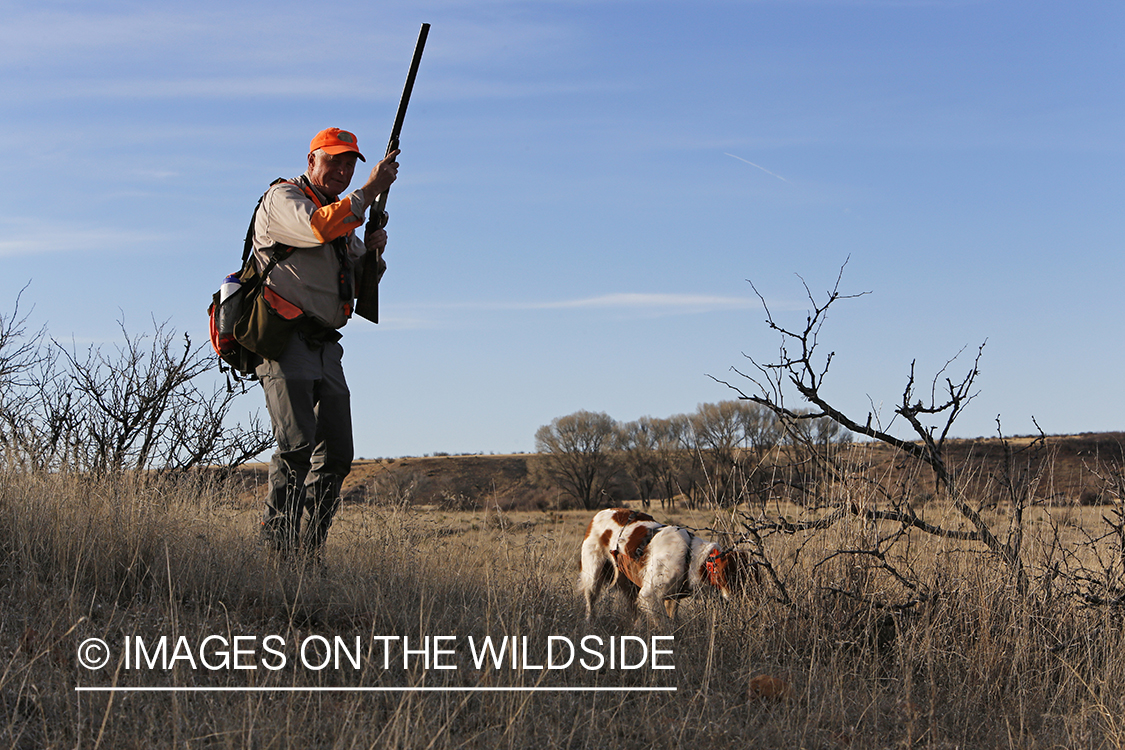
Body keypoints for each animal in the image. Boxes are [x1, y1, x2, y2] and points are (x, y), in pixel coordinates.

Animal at [580, 508, 747, 625]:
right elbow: (665, 626)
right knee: (590, 603)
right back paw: (589, 624)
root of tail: (598, 514)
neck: (690, 557)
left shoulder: (672, 598)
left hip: (629, 584)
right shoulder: (650, 595)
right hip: (594, 575)